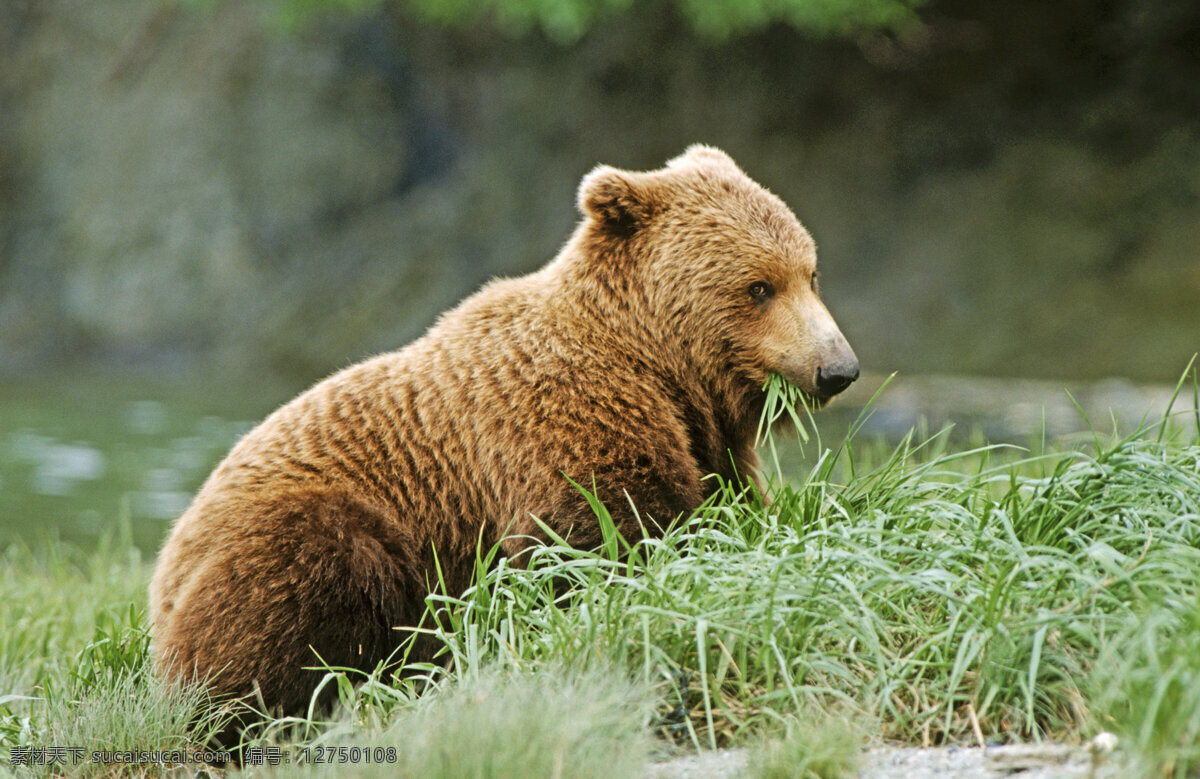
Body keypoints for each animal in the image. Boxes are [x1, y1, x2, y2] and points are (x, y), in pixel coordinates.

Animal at [147, 144, 854, 724]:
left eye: (810, 272)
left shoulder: (706, 439)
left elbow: (734, 506)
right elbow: (599, 533)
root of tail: (162, 569)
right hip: (289, 535)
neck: (653, 362)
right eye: (758, 286)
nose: (838, 368)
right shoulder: (560, 420)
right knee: (302, 580)